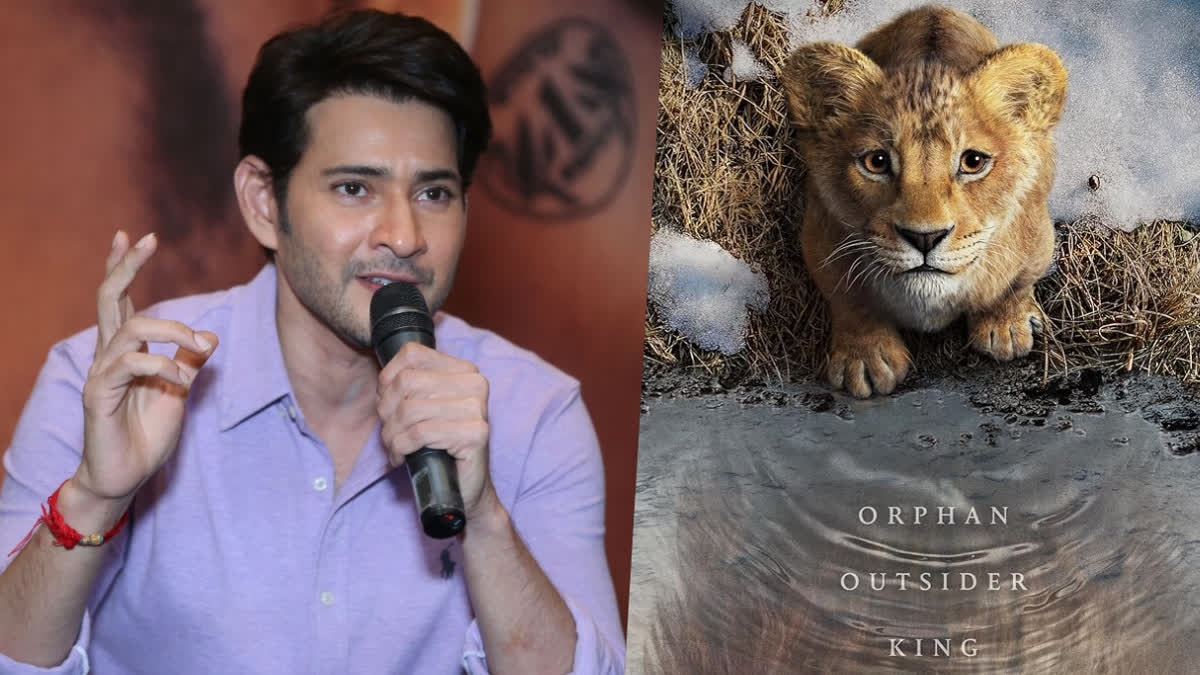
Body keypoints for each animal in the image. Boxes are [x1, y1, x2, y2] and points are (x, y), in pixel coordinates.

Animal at [782, 5, 1067, 398]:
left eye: (973, 162)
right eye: (876, 162)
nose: (925, 238)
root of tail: (934, 8)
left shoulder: (1037, 236)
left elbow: (1015, 283)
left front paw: (1006, 327)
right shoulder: (820, 235)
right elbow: (849, 299)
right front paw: (865, 359)